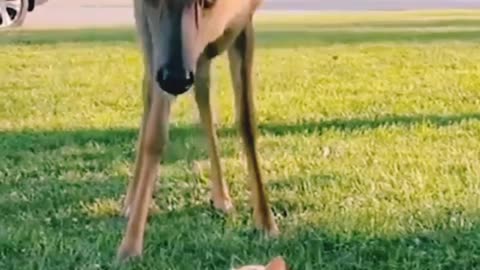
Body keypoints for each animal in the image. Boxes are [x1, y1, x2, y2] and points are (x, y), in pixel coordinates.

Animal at [116, 0, 280, 262]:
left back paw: (221, 198)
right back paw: (131, 203)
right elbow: (155, 135)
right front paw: (130, 247)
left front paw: (266, 223)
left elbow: (247, 122)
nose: (175, 79)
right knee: (148, 91)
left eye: (208, 1)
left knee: (202, 91)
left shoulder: (244, 24)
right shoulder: (156, 37)